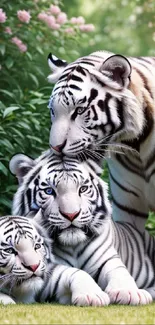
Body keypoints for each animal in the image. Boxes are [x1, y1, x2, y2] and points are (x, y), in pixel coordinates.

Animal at [9, 151, 153, 304]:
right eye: (49, 191)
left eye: (83, 189)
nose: (71, 214)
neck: (73, 245)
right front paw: (91, 294)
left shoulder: (108, 259)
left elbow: (119, 271)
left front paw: (129, 292)